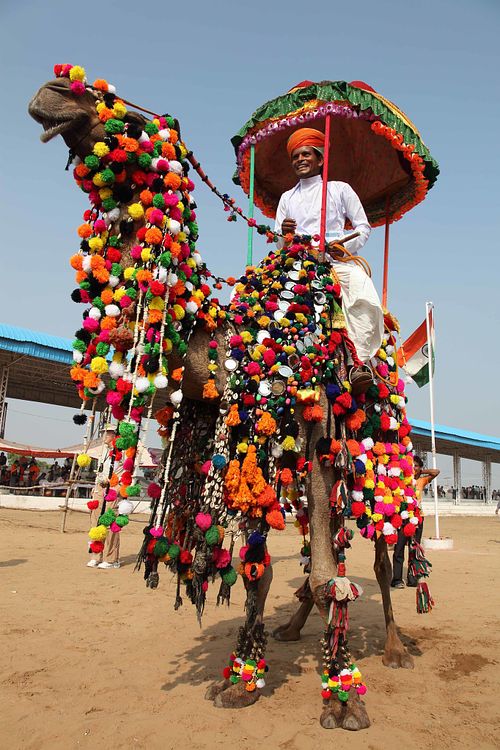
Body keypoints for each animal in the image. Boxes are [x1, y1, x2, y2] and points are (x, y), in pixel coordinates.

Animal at [29, 71, 421, 731]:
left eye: (127, 120)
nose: (52, 92)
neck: (237, 340)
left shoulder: (316, 436)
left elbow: (327, 575)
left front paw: (343, 699)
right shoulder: (245, 441)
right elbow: (262, 570)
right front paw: (242, 679)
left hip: (382, 445)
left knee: (381, 546)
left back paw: (393, 647)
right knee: (319, 553)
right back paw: (293, 630)